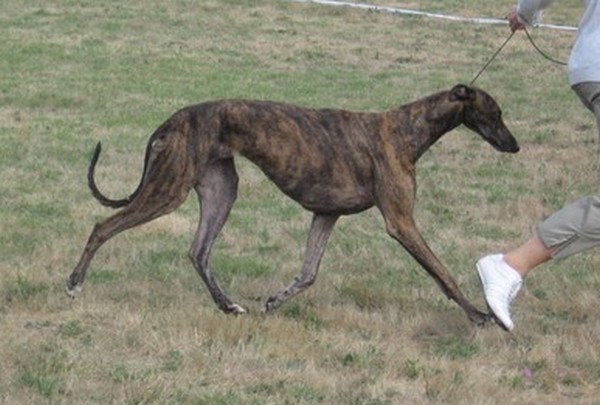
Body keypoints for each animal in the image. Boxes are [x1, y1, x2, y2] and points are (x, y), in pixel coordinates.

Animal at [67, 84, 519, 326]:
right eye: (496, 112)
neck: (406, 131)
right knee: (103, 227)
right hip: (167, 189)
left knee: (198, 251)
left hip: (221, 189)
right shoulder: (401, 221)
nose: (515, 146)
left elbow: (308, 274)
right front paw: (479, 315)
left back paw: (228, 304)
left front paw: (273, 301)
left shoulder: (327, 214)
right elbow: (443, 274)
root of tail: (172, 120)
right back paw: (74, 283)